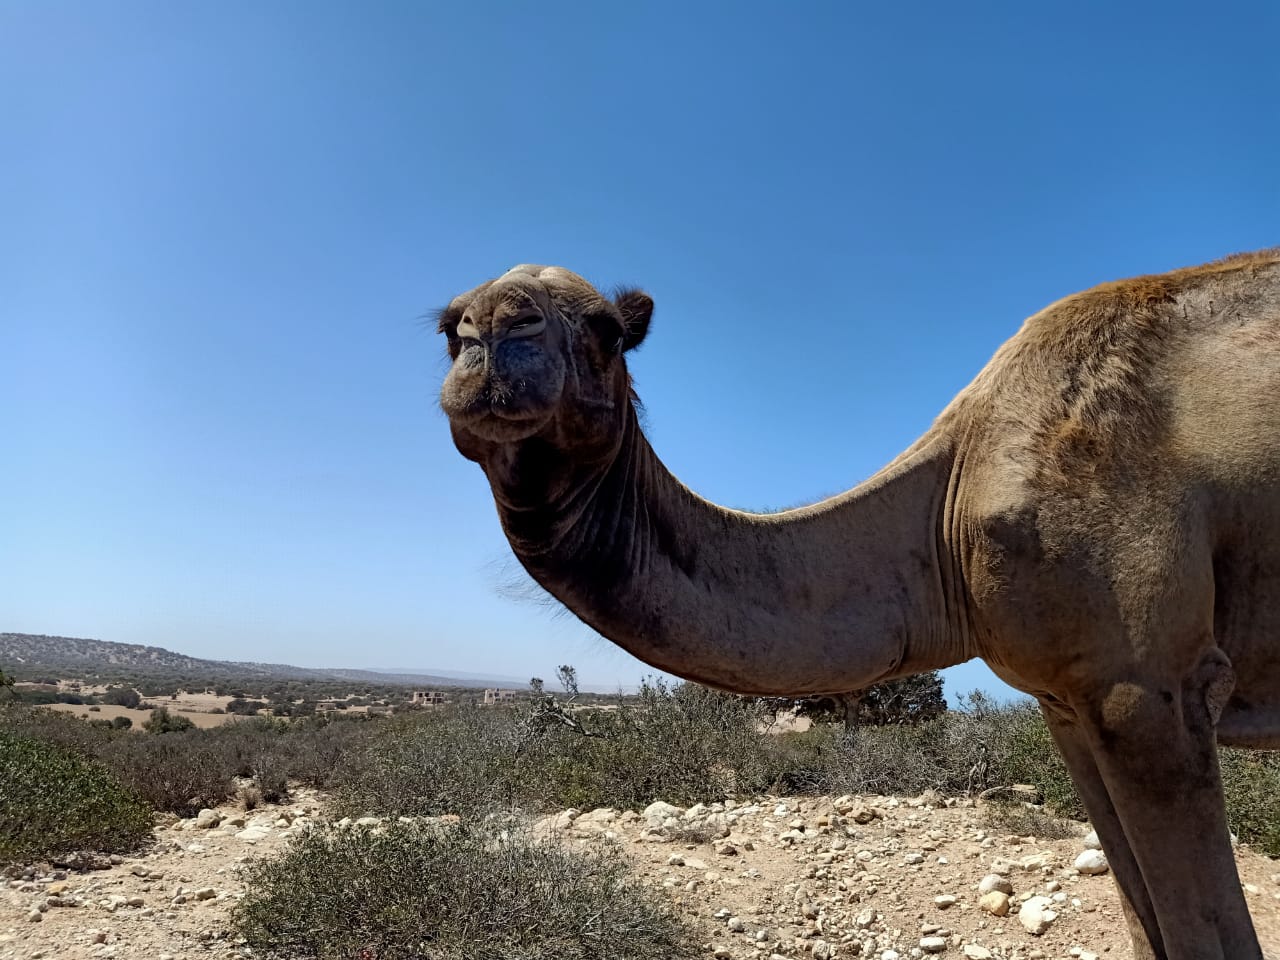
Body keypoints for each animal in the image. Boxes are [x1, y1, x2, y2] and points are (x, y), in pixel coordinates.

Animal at [437, 252, 1280, 957]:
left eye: (607, 331)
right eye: (449, 328)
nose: (492, 330)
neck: (950, 505)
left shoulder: (1147, 683)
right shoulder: (1067, 699)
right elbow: (1145, 927)